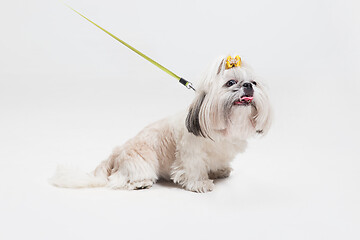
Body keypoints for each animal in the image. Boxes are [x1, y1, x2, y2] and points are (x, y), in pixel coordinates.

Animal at [50, 54, 270, 193]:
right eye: (230, 83)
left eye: (254, 83)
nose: (248, 86)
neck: (223, 128)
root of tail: (117, 153)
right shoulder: (191, 154)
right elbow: (194, 168)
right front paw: (200, 183)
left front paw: (219, 171)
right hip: (143, 163)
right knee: (117, 179)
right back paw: (139, 184)